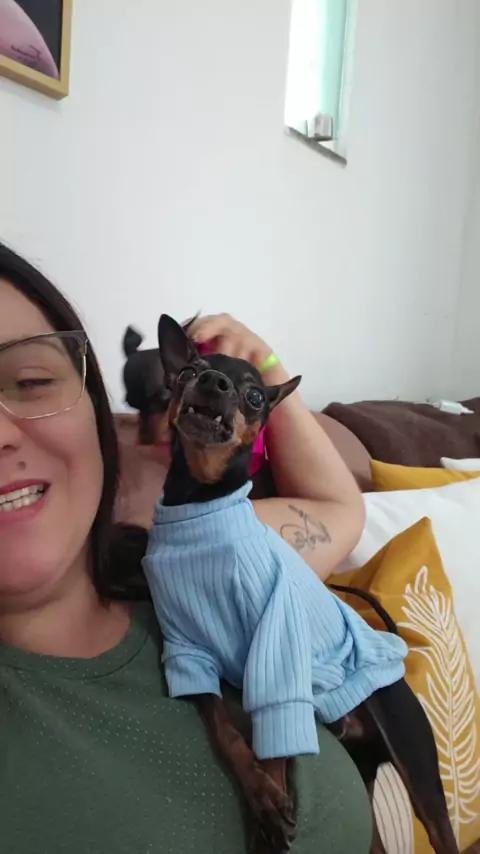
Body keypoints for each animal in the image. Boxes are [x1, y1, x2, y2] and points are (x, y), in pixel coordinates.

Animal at [142, 314, 459, 854]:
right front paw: (260, 793)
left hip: (414, 762)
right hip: (365, 769)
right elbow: (225, 729)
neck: (200, 507)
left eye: (254, 396)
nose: (213, 382)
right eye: (187, 371)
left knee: (439, 826)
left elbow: (273, 742)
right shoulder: (186, 649)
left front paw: (270, 802)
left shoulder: (276, 648)